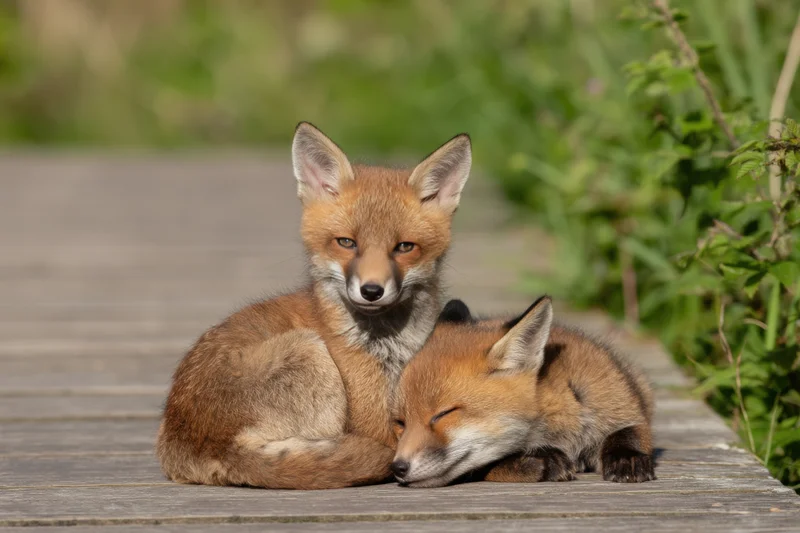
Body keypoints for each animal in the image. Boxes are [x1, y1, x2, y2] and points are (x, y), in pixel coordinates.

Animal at [156, 123, 473, 489]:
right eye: (347, 243)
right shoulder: (379, 421)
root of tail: (208, 441)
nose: (372, 290)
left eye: (405, 247)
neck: (390, 348)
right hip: (309, 351)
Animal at [391, 296, 656, 487]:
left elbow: (629, 431)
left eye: (443, 414)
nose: (397, 468)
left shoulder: (618, 398)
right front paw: (538, 461)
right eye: (400, 422)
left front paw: (627, 457)